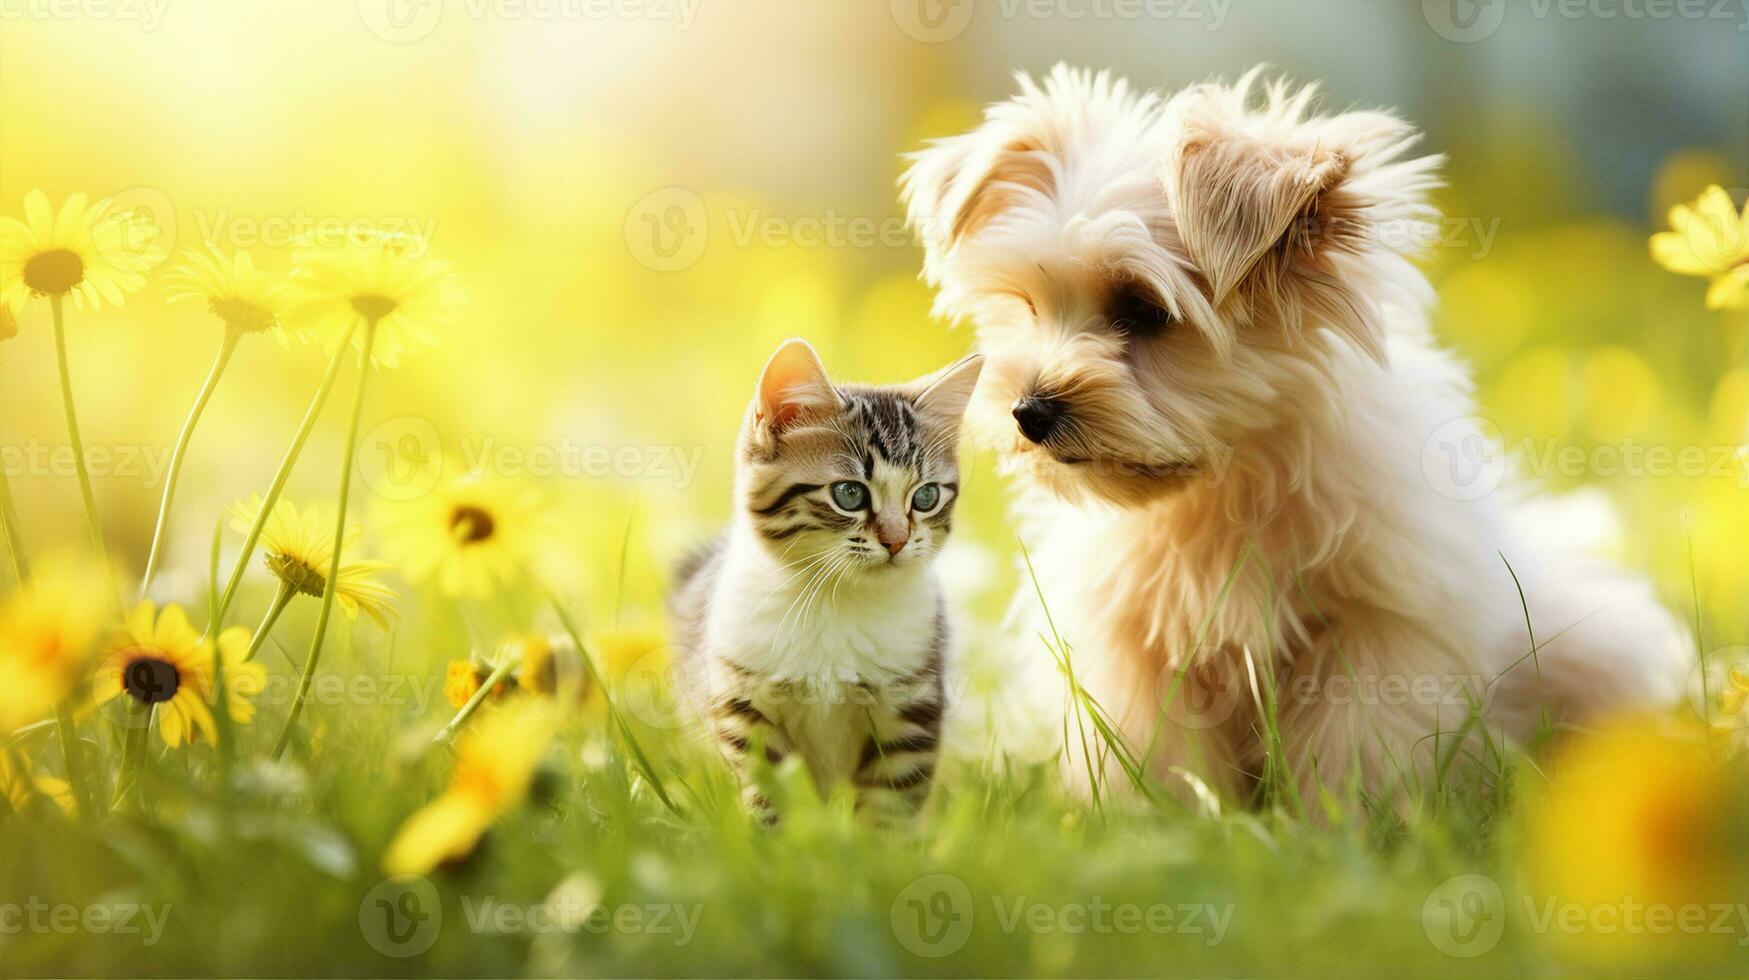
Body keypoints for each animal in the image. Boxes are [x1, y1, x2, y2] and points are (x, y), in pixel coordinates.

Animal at [668, 339, 986, 819]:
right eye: (849, 494)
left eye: (926, 496)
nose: (896, 540)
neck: (835, 601)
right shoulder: (744, 705)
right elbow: (769, 797)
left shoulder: (911, 711)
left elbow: (887, 809)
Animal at [909, 66, 1686, 805]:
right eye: (1028, 307)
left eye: (1143, 309)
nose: (1029, 411)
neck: (1227, 483)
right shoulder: (1138, 649)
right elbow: (1163, 764)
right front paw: (1170, 827)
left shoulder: (1376, 634)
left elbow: (1353, 752)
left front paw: (1347, 827)